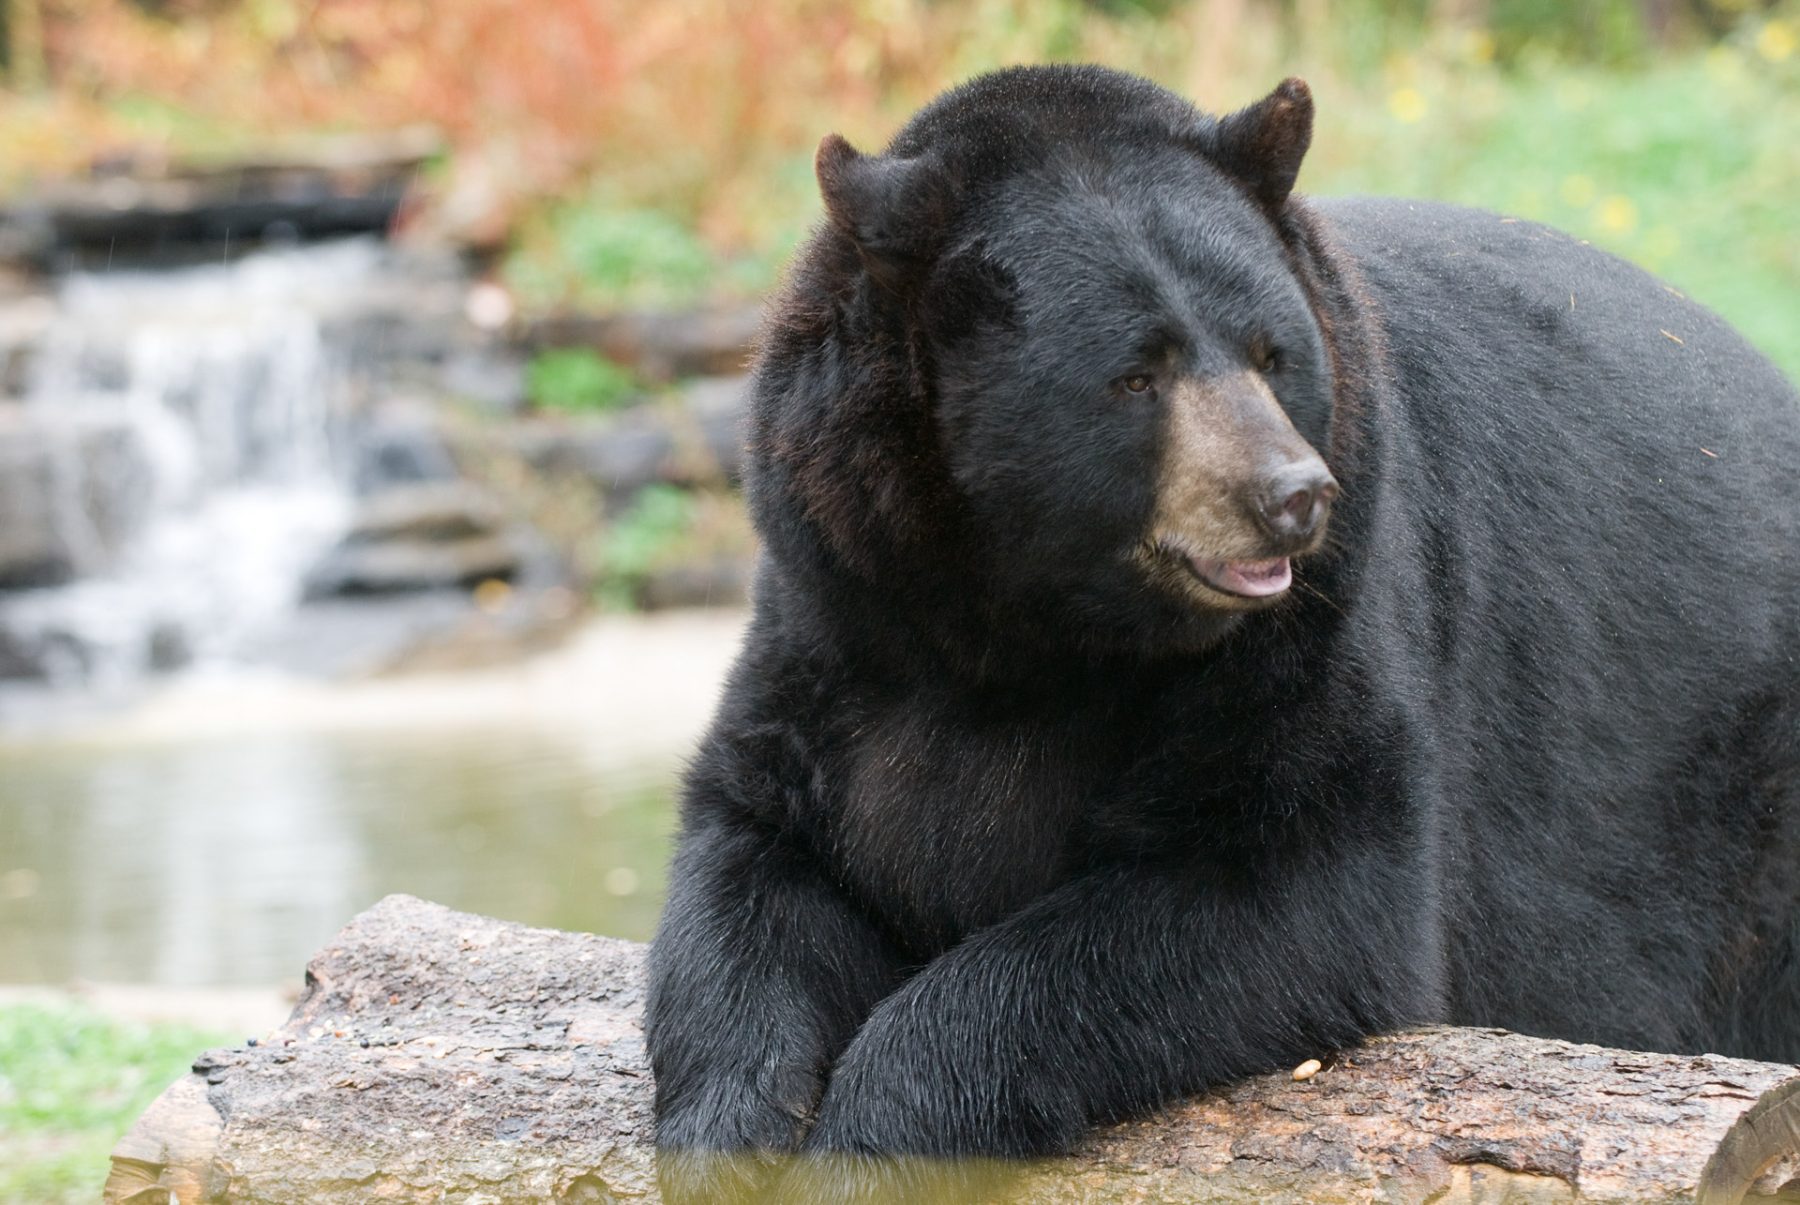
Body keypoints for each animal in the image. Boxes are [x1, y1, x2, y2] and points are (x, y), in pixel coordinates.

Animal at [644, 64, 1800, 1204]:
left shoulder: (1316, 630)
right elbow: (752, 851)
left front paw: (872, 1139)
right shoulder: (844, 613)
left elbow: (1291, 883)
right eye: (1135, 373)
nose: (1292, 496)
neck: (1033, 630)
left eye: (1270, 352)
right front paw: (730, 1130)